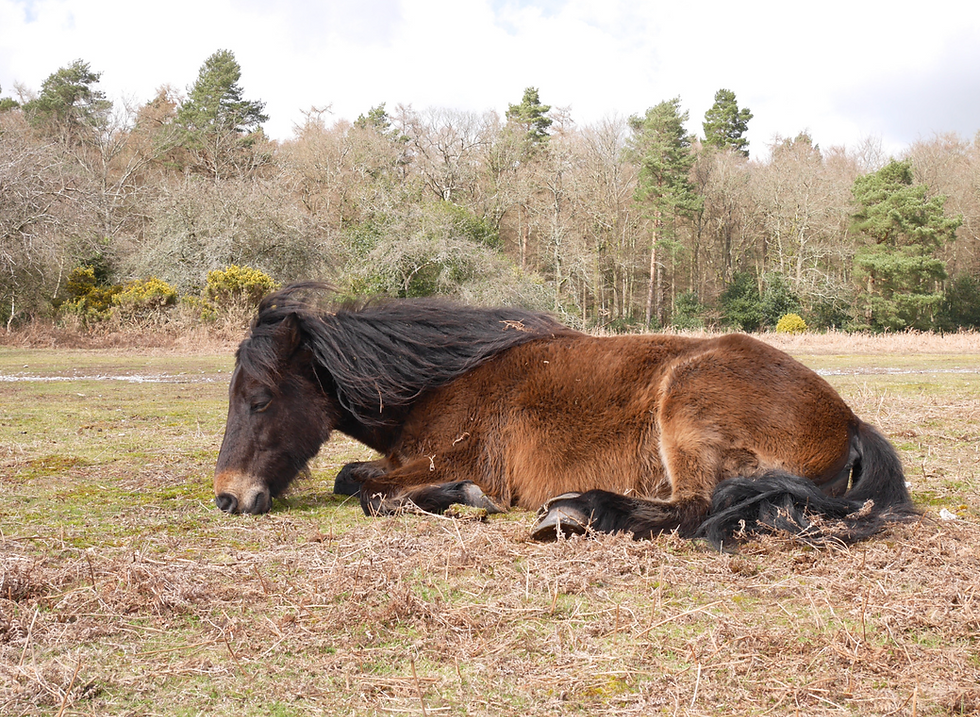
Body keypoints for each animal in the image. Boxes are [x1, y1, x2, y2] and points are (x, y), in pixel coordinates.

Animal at [214, 283, 916, 547]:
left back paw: (581, 510)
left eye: (259, 398)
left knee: (695, 509)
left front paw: (464, 498)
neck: (442, 380)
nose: (227, 497)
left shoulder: (447, 458)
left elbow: (370, 492)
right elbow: (352, 478)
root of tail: (847, 419)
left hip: (684, 406)